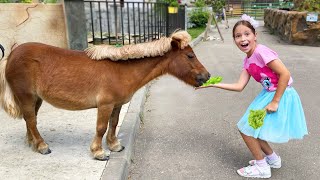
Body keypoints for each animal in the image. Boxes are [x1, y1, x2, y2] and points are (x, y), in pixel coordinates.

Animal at [0, 31, 210, 160]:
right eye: (190, 56)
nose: (207, 76)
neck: (121, 70)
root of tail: (12, 54)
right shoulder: (105, 105)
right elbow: (101, 127)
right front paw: (99, 152)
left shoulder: (117, 105)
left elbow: (113, 124)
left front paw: (114, 145)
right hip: (26, 96)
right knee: (31, 120)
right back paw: (42, 146)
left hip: (36, 99)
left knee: (30, 120)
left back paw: (32, 143)